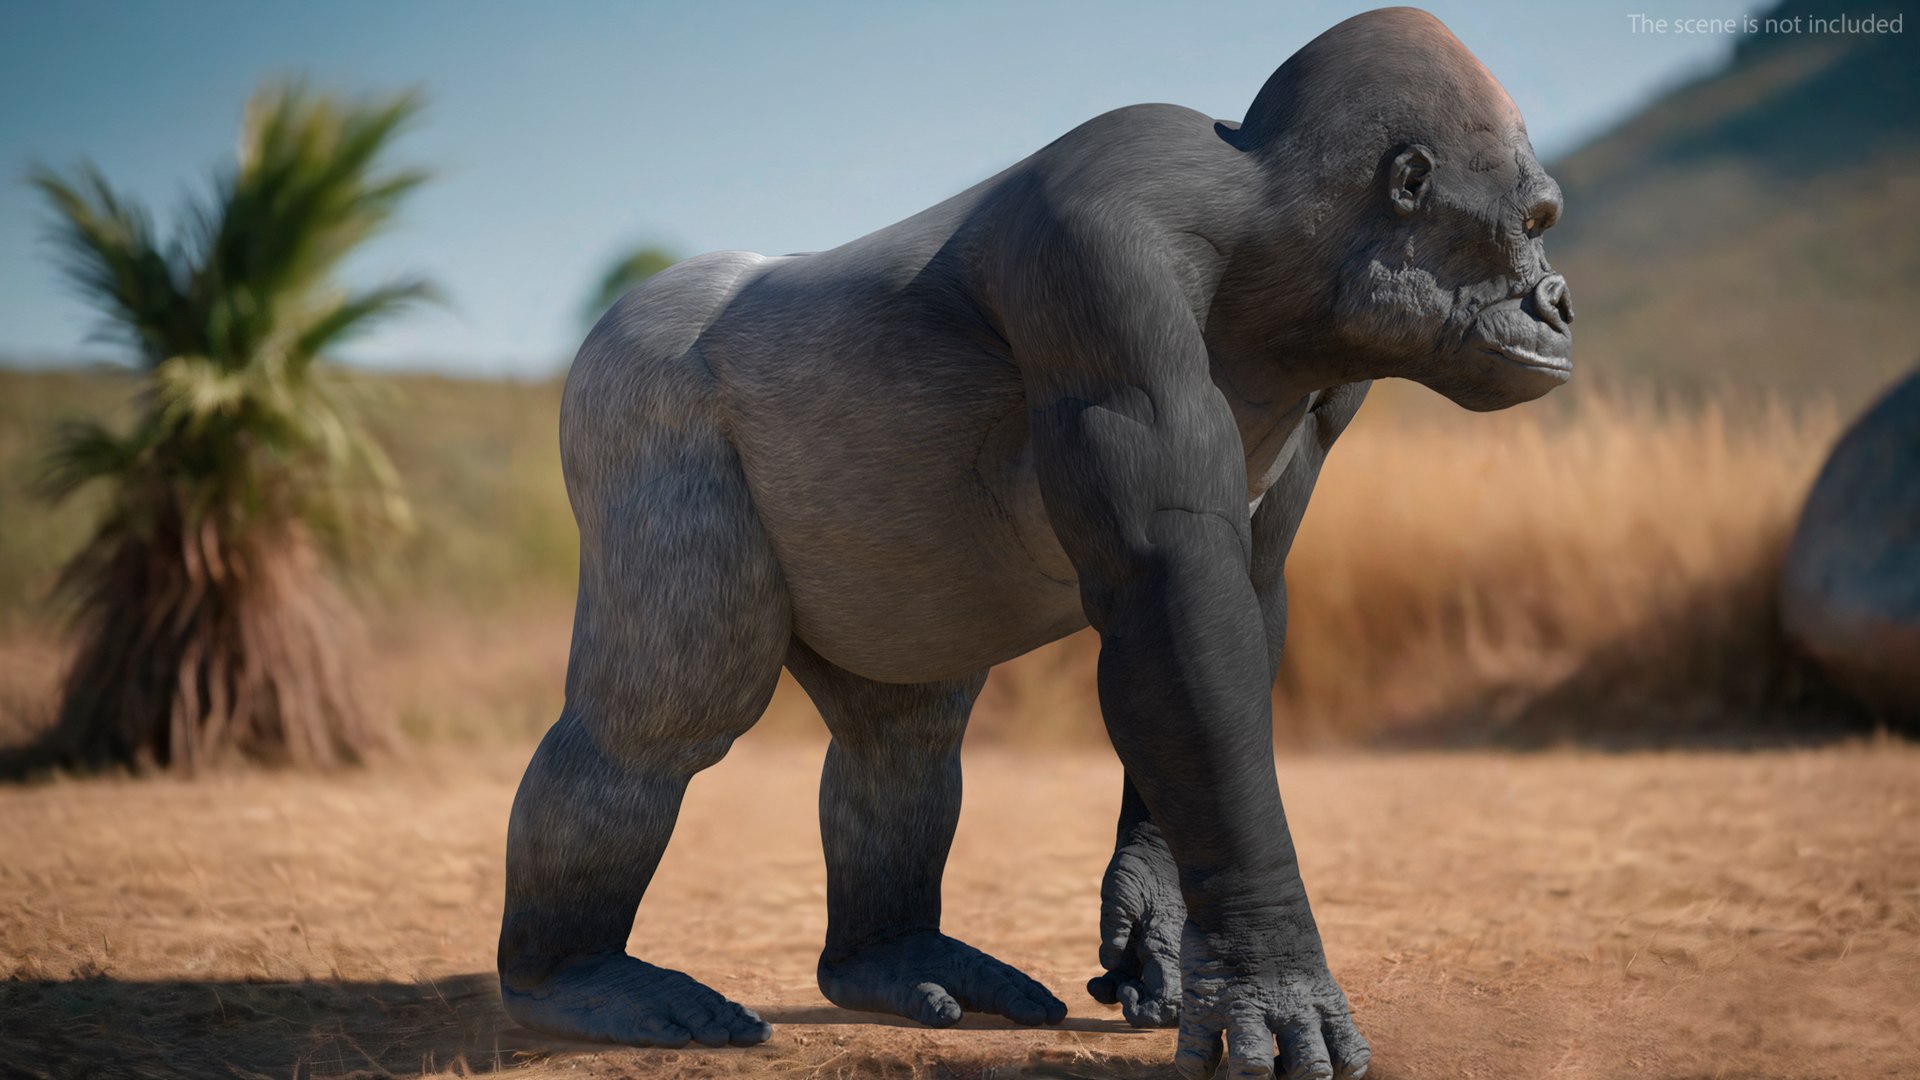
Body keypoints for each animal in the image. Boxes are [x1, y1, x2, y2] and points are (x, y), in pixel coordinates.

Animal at [497, 8, 1572, 1078]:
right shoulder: (1101, 247)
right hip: (632, 381)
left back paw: (891, 957)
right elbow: (1170, 590)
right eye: (1533, 222)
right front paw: (1274, 974)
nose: (1558, 300)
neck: (1275, 238)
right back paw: (575, 980)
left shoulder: (1334, 382)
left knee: (901, 743)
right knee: (656, 722)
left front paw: (1156, 911)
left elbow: (1225, 610)